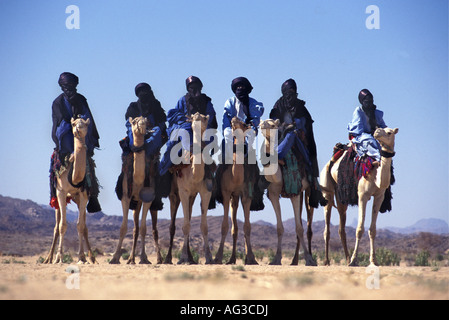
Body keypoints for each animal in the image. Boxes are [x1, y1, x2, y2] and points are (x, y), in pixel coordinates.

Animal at [43, 117, 96, 264]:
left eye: (85, 124)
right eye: (73, 123)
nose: (78, 128)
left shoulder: (83, 195)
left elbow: (80, 226)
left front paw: (82, 257)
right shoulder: (61, 192)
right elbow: (62, 225)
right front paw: (59, 257)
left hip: (78, 199)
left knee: (85, 226)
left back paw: (93, 258)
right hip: (57, 197)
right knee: (56, 226)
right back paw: (48, 258)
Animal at [110, 116, 162, 264]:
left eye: (145, 120)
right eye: (134, 122)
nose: (143, 126)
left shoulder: (148, 199)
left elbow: (144, 228)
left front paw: (144, 258)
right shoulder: (126, 197)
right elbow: (123, 228)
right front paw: (115, 258)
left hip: (151, 204)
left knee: (153, 229)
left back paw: (159, 258)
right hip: (135, 203)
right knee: (135, 228)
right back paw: (131, 259)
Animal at [163, 112, 214, 264]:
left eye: (204, 119)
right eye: (192, 119)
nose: (196, 124)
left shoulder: (205, 191)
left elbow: (204, 226)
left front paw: (209, 257)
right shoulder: (183, 191)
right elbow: (185, 226)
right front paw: (182, 258)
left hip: (192, 196)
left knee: (189, 217)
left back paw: (191, 258)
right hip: (174, 194)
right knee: (173, 225)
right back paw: (168, 258)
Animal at [258, 119, 316, 266]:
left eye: (273, 125)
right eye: (262, 122)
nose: (262, 125)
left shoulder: (294, 192)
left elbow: (299, 228)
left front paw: (308, 259)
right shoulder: (273, 194)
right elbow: (279, 228)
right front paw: (276, 259)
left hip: (307, 190)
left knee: (308, 226)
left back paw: (312, 259)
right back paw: (294, 260)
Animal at [318, 126, 400, 266]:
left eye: (389, 132)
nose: (376, 131)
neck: (376, 175)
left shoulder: (379, 196)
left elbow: (372, 230)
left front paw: (374, 260)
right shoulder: (362, 195)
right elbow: (360, 228)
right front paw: (354, 260)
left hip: (341, 197)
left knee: (341, 228)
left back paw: (346, 258)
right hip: (327, 190)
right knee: (327, 229)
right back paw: (327, 260)